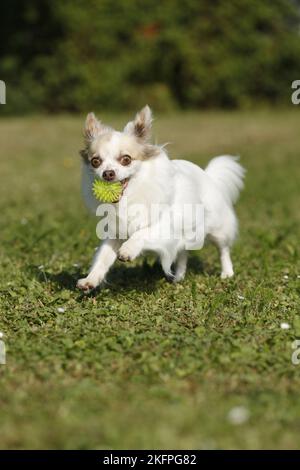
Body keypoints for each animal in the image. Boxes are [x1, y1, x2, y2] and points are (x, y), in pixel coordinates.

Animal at [76, 105, 245, 294]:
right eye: (95, 162)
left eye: (126, 159)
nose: (108, 173)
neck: (130, 197)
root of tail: (208, 176)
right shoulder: (115, 233)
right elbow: (102, 258)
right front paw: (90, 280)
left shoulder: (165, 227)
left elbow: (142, 232)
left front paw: (128, 249)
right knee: (182, 253)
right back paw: (179, 277)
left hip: (217, 229)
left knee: (223, 249)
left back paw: (227, 273)